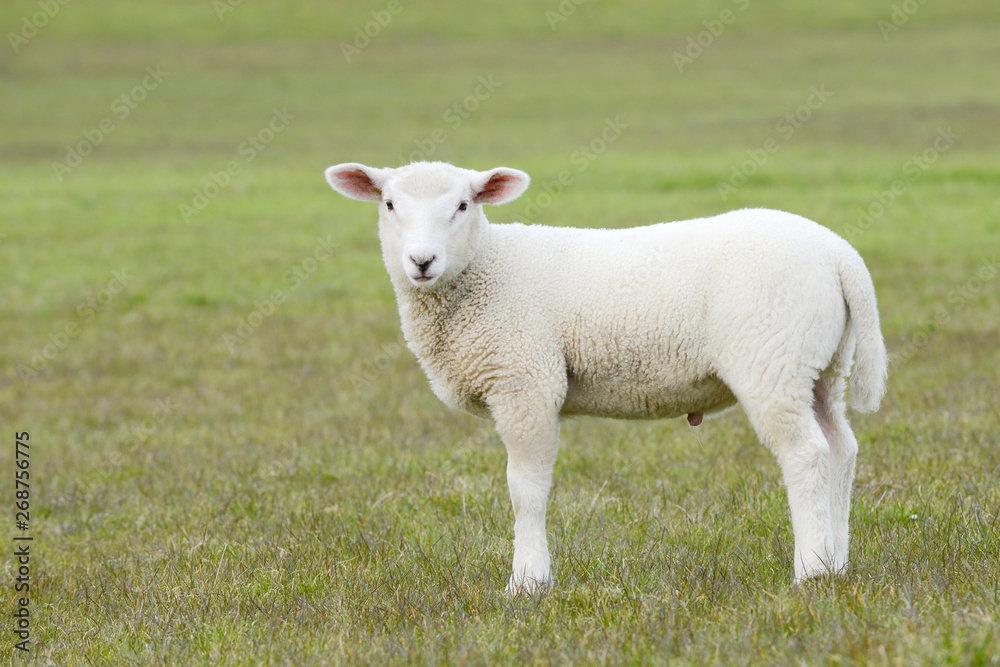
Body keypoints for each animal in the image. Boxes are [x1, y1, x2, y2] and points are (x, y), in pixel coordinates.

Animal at [324, 159, 888, 592]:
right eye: (389, 204)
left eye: (463, 206)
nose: (422, 261)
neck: (485, 268)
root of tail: (839, 253)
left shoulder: (526, 381)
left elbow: (525, 489)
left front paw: (527, 584)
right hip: (822, 365)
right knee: (841, 448)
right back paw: (836, 564)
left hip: (772, 360)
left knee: (806, 454)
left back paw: (810, 572)